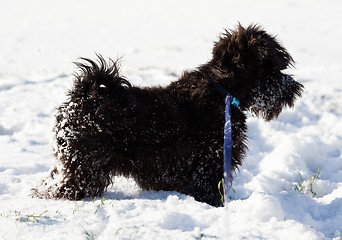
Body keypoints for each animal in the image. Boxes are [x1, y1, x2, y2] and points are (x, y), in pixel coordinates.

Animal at [34, 24, 302, 206]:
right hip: (85, 166)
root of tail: (83, 96)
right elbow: (209, 190)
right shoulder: (210, 162)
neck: (222, 91)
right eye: (274, 70)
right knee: (63, 187)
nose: (294, 87)